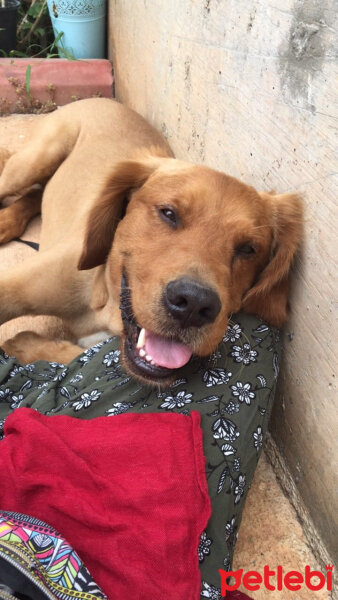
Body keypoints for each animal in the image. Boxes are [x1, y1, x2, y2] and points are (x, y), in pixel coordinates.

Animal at [0, 97, 302, 384]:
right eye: (168, 213)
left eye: (249, 249)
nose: (194, 305)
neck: (105, 306)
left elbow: (76, 358)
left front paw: (28, 345)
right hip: (31, 163)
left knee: (37, 193)